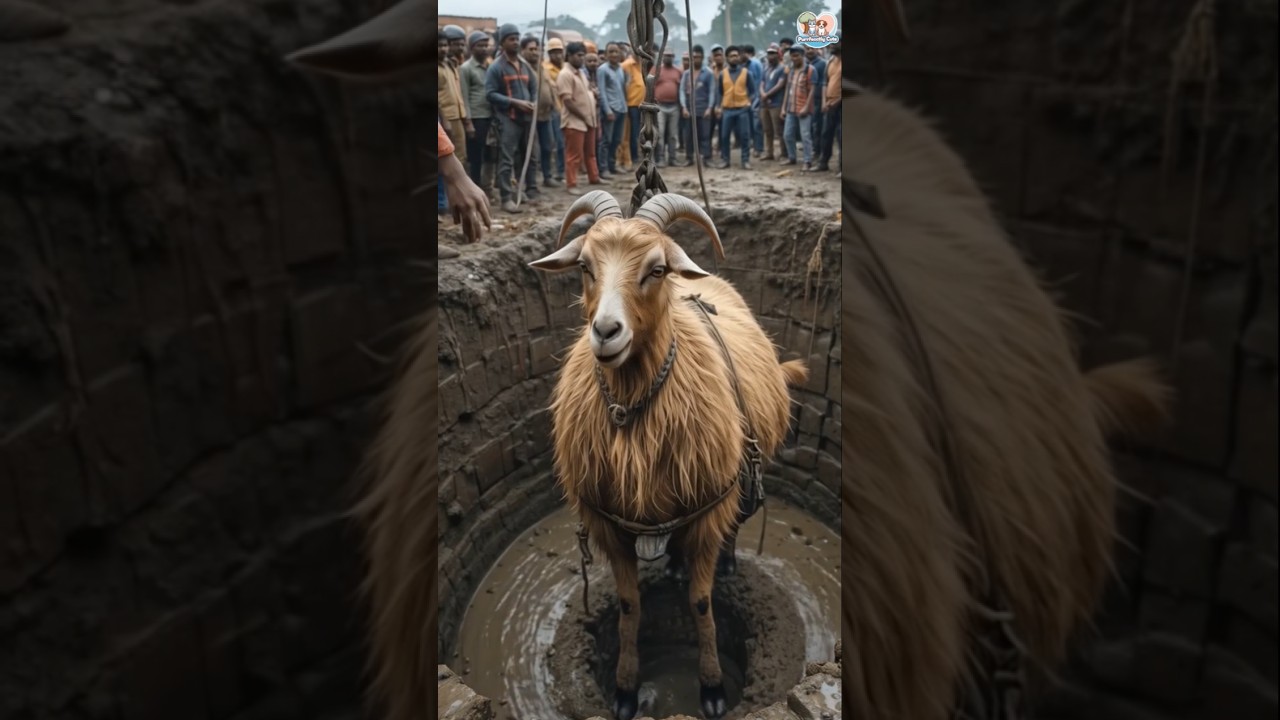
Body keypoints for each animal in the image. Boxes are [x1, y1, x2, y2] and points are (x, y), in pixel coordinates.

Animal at [529, 191, 807, 720]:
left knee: (734, 523)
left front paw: (713, 688)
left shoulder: (708, 512)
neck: (632, 409)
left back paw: (728, 562)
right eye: (585, 266)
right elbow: (629, 606)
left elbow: (700, 604)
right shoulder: (611, 528)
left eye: (656, 269)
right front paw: (624, 690)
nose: (606, 332)